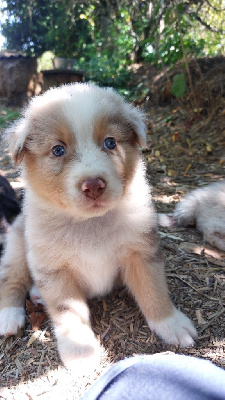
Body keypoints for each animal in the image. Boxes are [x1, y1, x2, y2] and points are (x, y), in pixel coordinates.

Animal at [0, 83, 197, 374]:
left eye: (110, 143)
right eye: (58, 150)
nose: (93, 185)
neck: (89, 224)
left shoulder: (141, 251)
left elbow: (154, 290)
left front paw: (171, 324)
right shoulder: (54, 270)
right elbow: (69, 314)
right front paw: (80, 351)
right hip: (17, 244)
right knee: (12, 278)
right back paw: (9, 315)